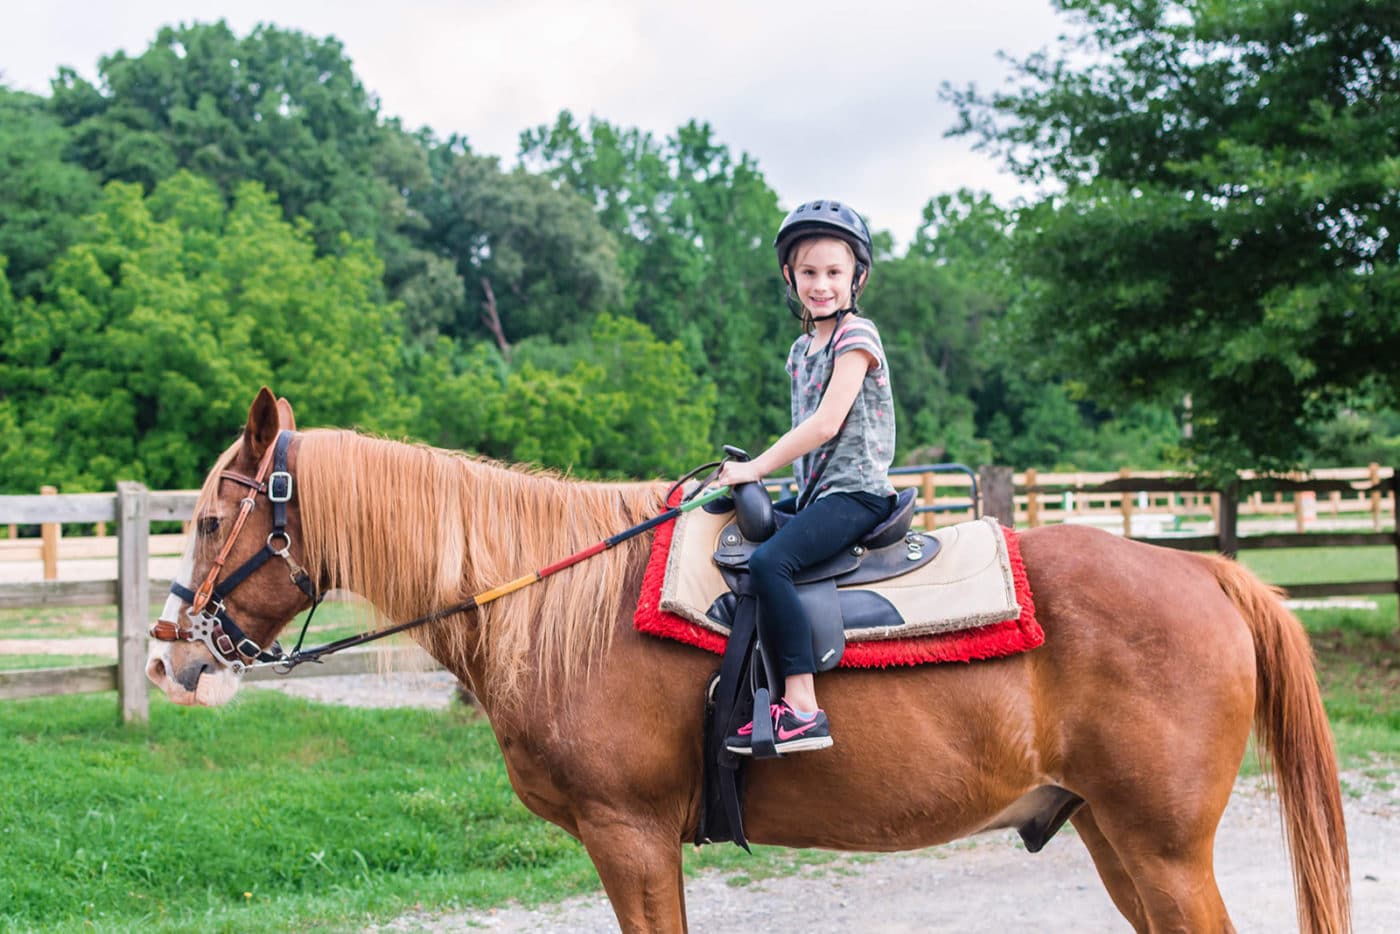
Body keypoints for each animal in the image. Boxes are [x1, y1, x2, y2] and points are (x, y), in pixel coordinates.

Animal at [147, 389, 1349, 934]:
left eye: (205, 520)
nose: (168, 660)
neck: (558, 604)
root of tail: (1210, 577)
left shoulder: (628, 834)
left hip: (1161, 847)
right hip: (1112, 836)